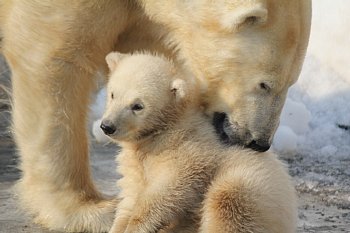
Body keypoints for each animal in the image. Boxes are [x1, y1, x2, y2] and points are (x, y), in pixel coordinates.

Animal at [101, 51, 298, 233]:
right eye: (112, 94)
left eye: (137, 106)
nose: (107, 126)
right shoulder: (135, 162)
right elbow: (130, 196)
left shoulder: (189, 151)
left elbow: (168, 190)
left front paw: (136, 226)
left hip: (252, 183)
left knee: (229, 205)